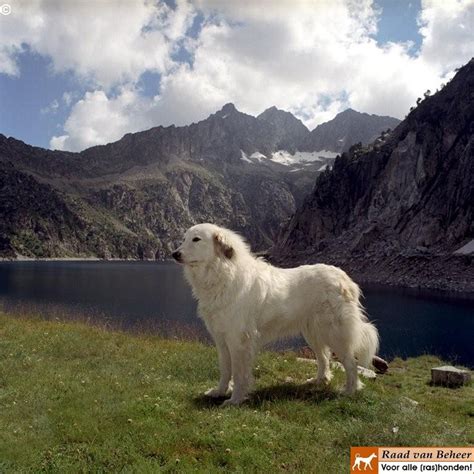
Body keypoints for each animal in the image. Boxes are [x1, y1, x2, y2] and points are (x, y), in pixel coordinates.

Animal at [172, 224, 380, 406]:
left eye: (196, 239)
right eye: (184, 239)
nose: (174, 254)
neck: (222, 274)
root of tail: (346, 279)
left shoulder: (239, 340)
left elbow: (239, 374)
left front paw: (235, 400)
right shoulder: (221, 339)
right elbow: (225, 369)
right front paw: (219, 391)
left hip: (334, 333)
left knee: (350, 364)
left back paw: (349, 391)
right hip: (313, 333)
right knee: (324, 358)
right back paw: (319, 380)